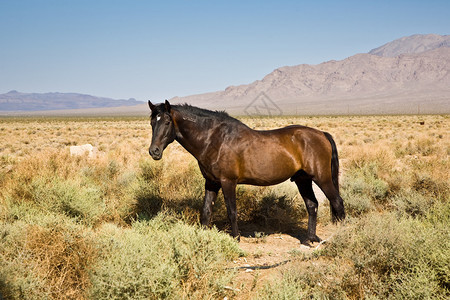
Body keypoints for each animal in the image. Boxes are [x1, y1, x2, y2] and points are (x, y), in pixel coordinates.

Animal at [148, 99, 344, 245]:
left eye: (167, 122)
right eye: (151, 123)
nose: (154, 151)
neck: (214, 139)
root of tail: (322, 134)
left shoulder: (228, 182)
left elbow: (232, 211)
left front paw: (236, 238)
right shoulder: (211, 183)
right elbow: (206, 211)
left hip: (322, 178)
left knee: (337, 202)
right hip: (302, 179)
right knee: (312, 205)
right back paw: (310, 239)